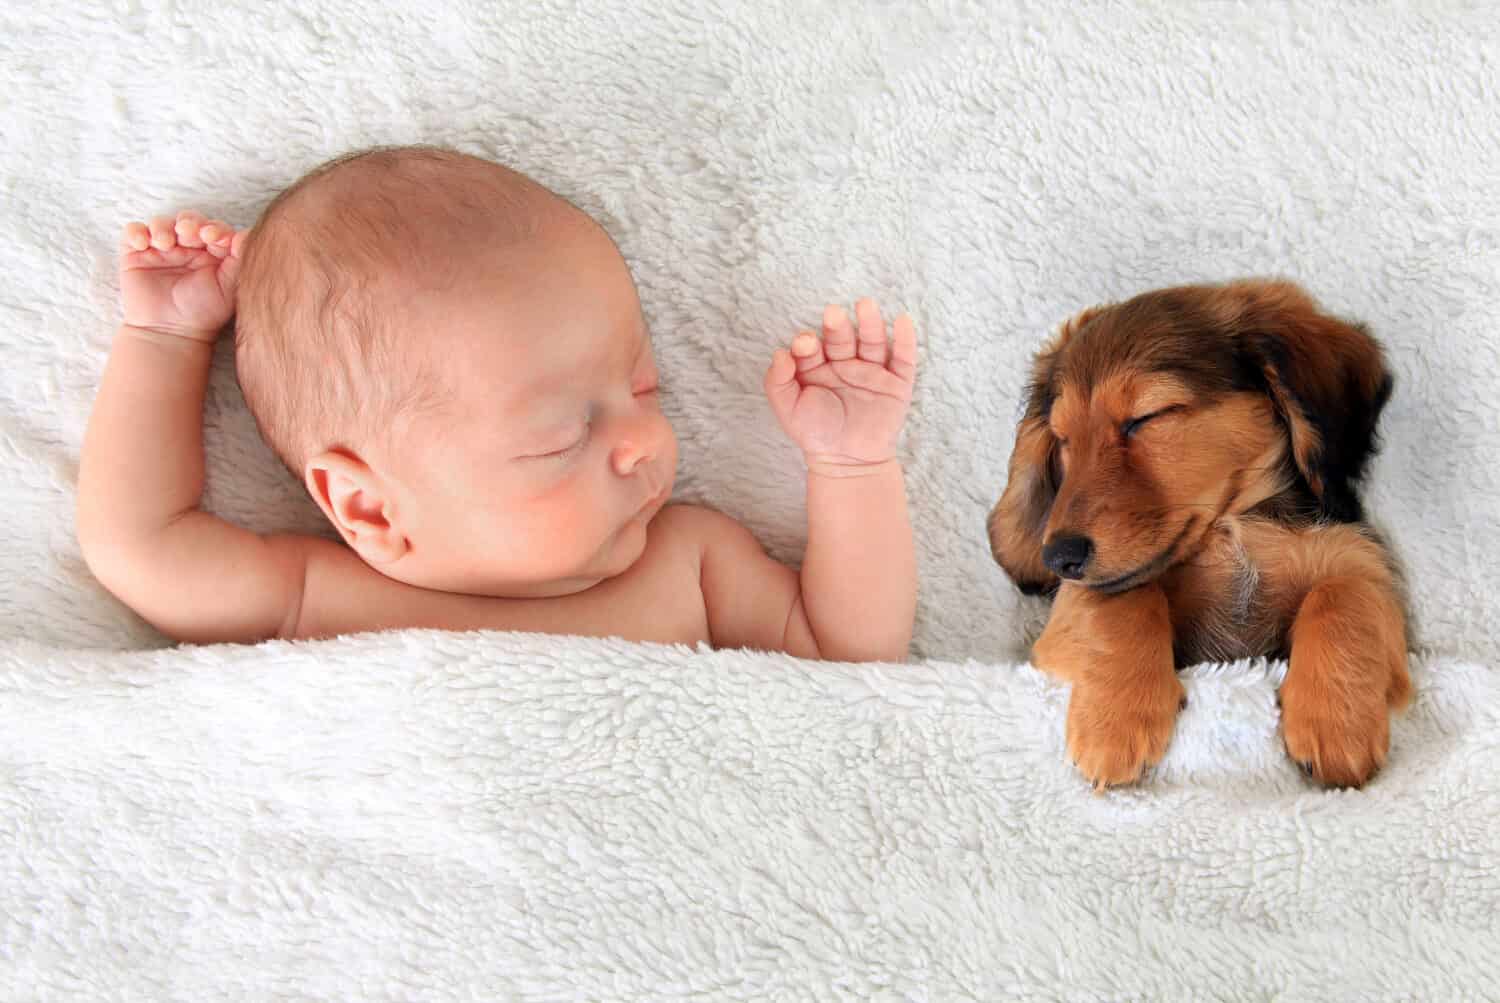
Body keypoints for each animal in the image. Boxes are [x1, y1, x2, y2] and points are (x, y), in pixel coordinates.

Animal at [990, 280, 1410, 791]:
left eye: (1147, 417)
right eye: (1063, 439)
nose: (1058, 557)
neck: (1229, 529)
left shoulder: (1363, 560)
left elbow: (1343, 594)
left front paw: (1335, 723)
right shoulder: (1075, 608)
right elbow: (1125, 599)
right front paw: (1115, 723)